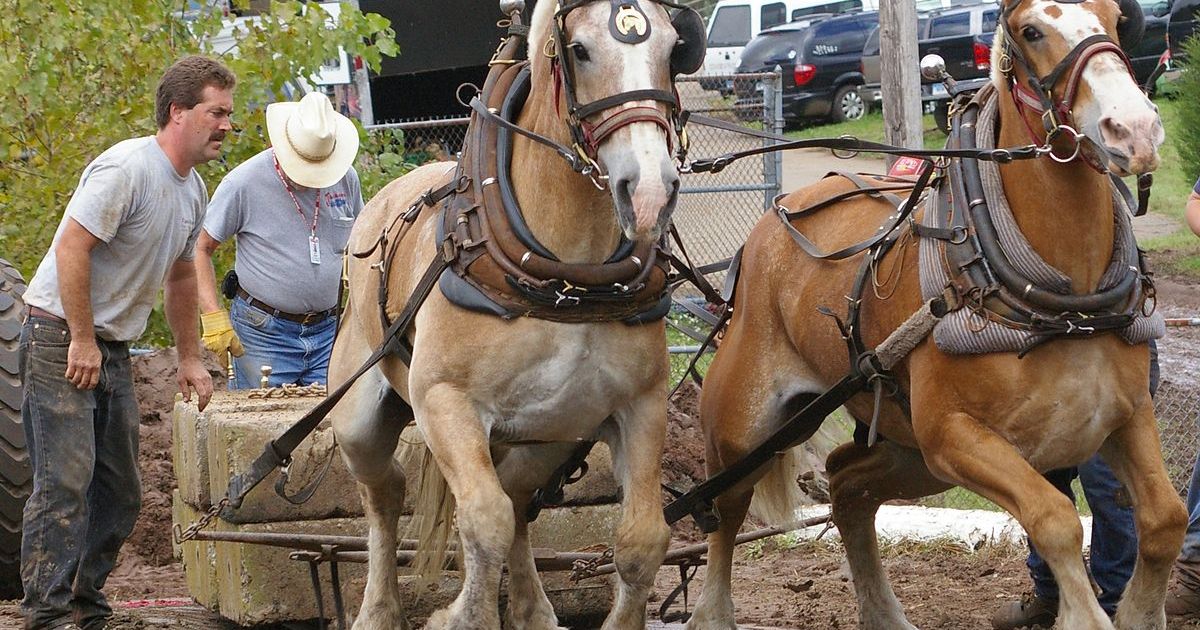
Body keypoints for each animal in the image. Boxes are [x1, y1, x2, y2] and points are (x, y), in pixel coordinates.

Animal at [324, 2, 705, 624]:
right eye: (579, 50)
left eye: (675, 49)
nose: (650, 191)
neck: (567, 281)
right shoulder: (446, 403)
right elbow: (484, 520)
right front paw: (460, 616)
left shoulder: (641, 405)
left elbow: (642, 540)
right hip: (359, 418)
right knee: (387, 495)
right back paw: (379, 609)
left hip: (545, 436)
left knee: (518, 497)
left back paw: (533, 610)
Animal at [691, 1, 1185, 628]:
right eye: (1030, 31)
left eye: (1119, 19)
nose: (1135, 129)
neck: (1062, 303)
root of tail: (769, 228)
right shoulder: (954, 436)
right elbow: (1055, 518)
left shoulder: (1127, 415)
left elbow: (1166, 518)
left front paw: (1140, 609)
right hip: (746, 431)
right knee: (725, 512)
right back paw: (711, 611)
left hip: (910, 455)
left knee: (847, 485)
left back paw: (884, 611)